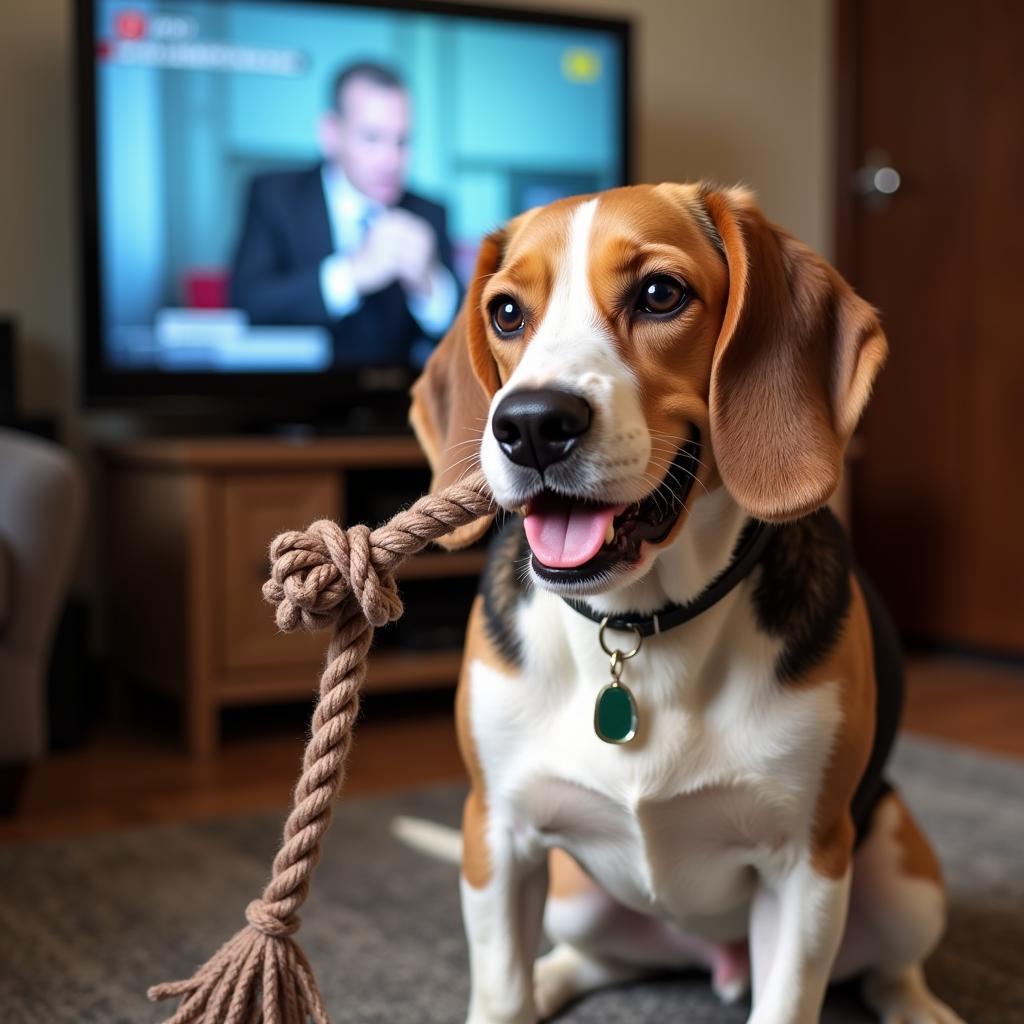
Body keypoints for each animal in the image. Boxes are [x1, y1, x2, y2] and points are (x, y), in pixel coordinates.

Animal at [405, 184, 958, 1024]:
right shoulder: (495, 836)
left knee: (891, 971)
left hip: (900, 871)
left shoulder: (808, 866)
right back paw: (554, 982)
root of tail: (711, 955)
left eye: (660, 294)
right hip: (574, 896)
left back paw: (918, 1006)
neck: (638, 622)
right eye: (505, 312)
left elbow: (789, 1001)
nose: (529, 424)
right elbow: (502, 991)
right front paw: (516, 998)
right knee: (592, 959)